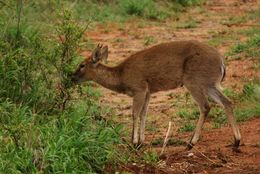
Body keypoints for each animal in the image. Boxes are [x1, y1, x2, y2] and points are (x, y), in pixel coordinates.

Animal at [71, 41, 242, 150]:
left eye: (82, 65)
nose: (71, 77)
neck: (121, 76)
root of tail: (221, 62)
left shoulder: (139, 88)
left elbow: (135, 114)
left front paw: (133, 143)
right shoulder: (148, 92)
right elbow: (144, 114)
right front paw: (141, 142)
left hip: (193, 81)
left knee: (206, 106)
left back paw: (191, 143)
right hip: (209, 83)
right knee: (227, 102)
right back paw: (236, 141)